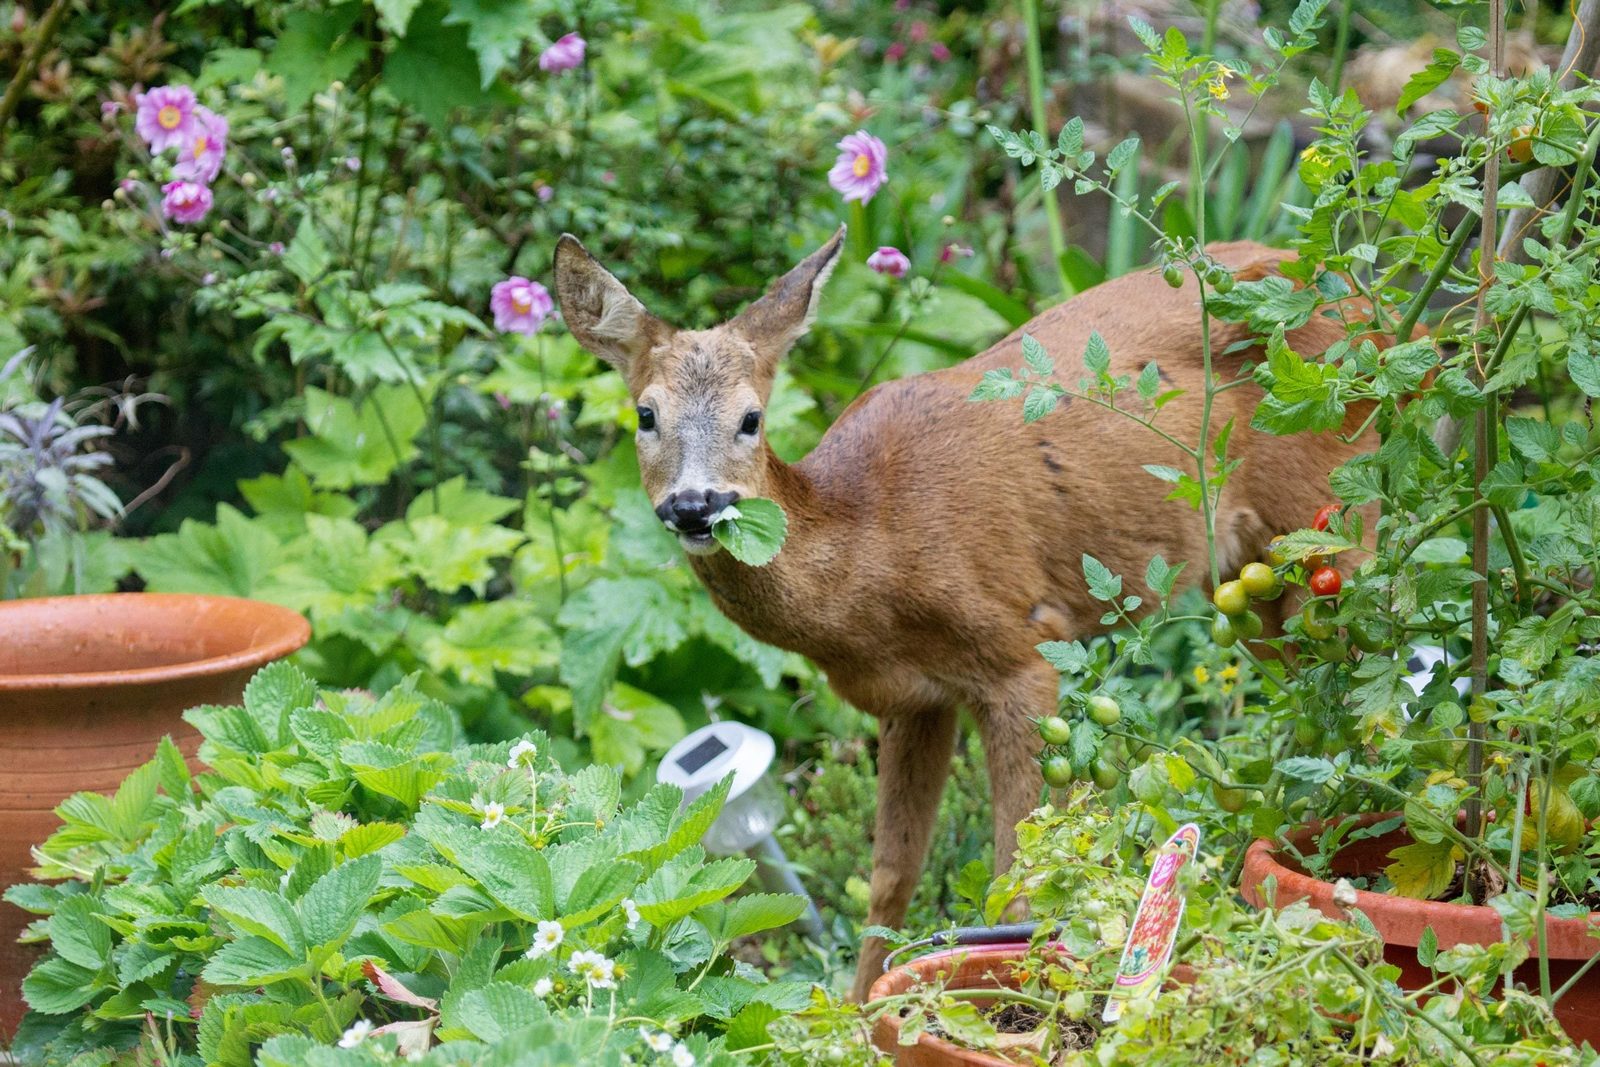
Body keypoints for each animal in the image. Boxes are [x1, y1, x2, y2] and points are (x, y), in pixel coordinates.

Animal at [553, 228, 1378, 1000]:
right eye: (645, 414)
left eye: (751, 418)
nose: (696, 504)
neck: (873, 547)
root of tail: (1370, 298)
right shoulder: (911, 698)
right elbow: (890, 873)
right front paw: (859, 1014)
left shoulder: (1023, 651)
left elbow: (1018, 869)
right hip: (1248, 578)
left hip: (1335, 515)